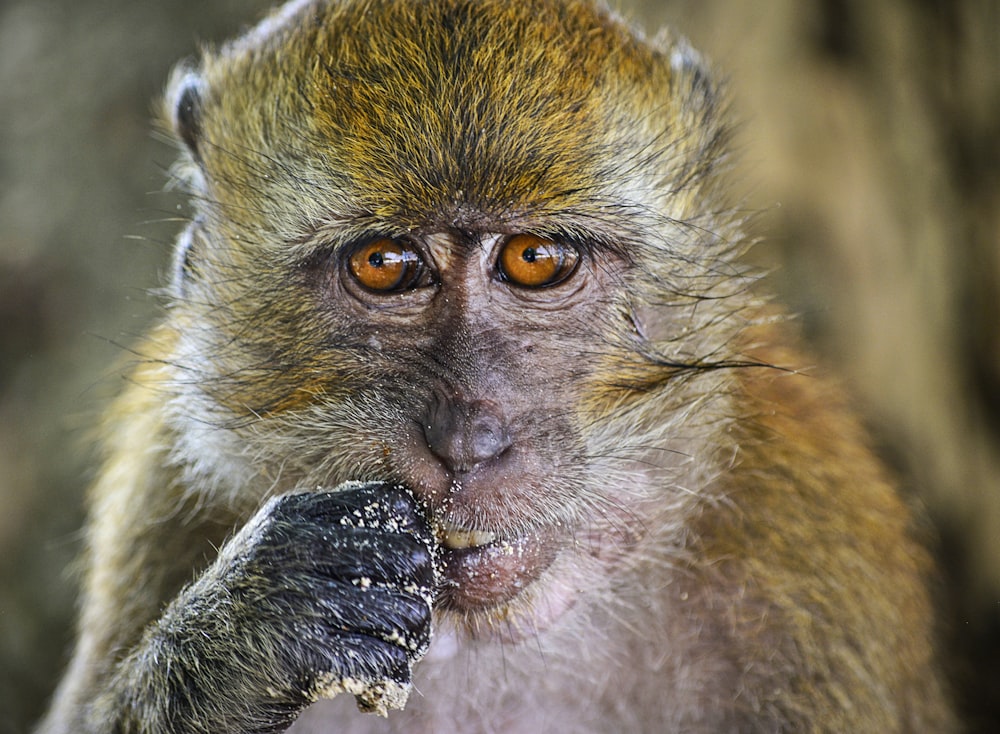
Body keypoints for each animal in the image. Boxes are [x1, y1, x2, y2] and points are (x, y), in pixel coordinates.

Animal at [35, 0, 956, 732]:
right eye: (385, 264)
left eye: (535, 259)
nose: (467, 442)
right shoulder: (156, 489)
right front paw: (255, 626)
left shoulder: (809, 551)